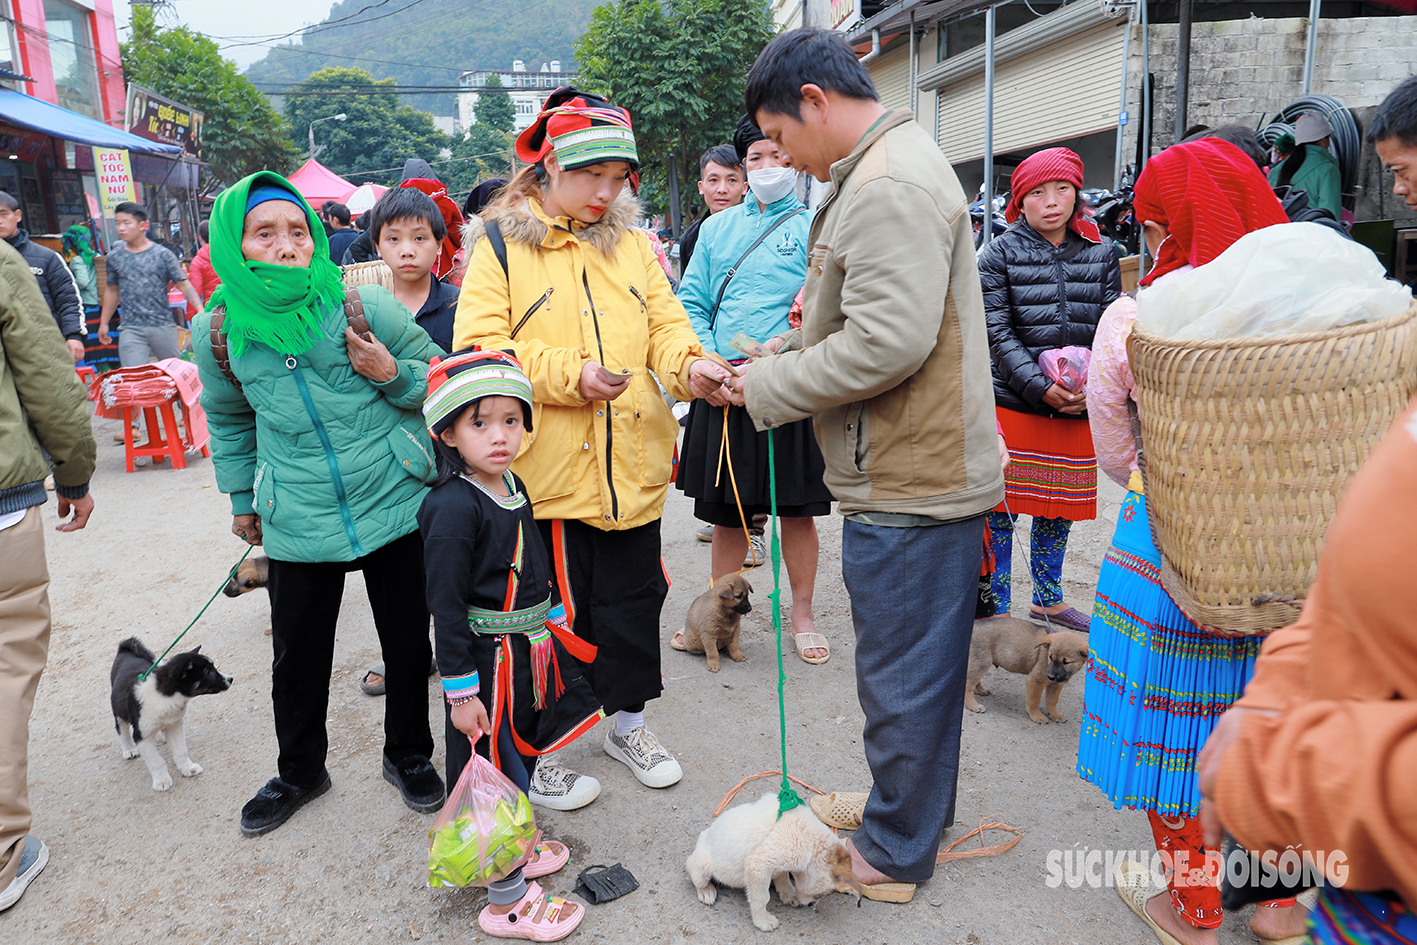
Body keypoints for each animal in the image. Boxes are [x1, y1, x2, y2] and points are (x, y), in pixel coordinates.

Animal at [110, 634, 232, 793]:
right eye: (208, 672)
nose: (230, 679)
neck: (165, 694)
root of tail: (125, 648)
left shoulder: (175, 725)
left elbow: (181, 751)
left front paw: (188, 768)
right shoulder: (142, 736)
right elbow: (156, 761)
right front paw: (162, 781)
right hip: (118, 709)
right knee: (121, 729)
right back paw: (129, 750)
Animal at [685, 793, 861, 935]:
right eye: (820, 895)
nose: (810, 904)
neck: (811, 839)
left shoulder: (778, 863)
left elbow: (782, 876)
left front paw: (788, 893)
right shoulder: (759, 865)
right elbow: (761, 898)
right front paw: (762, 921)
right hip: (701, 865)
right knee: (694, 872)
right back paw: (706, 891)